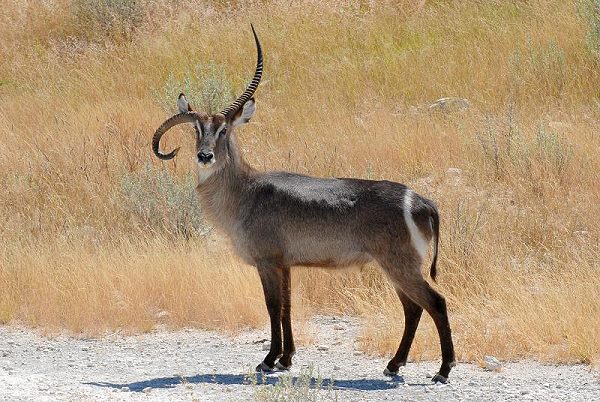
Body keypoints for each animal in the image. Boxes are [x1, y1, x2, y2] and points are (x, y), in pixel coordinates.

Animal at [150, 25, 454, 384]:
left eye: (223, 129)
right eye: (197, 129)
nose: (204, 155)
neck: (245, 192)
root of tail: (423, 201)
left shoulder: (267, 261)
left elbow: (272, 306)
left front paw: (268, 360)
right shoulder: (286, 264)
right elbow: (288, 306)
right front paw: (286, 359)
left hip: (399, 264)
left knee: (435, 302)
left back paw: (443, 370)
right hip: (395, 266)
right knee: (413, 308)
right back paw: (394, 365)